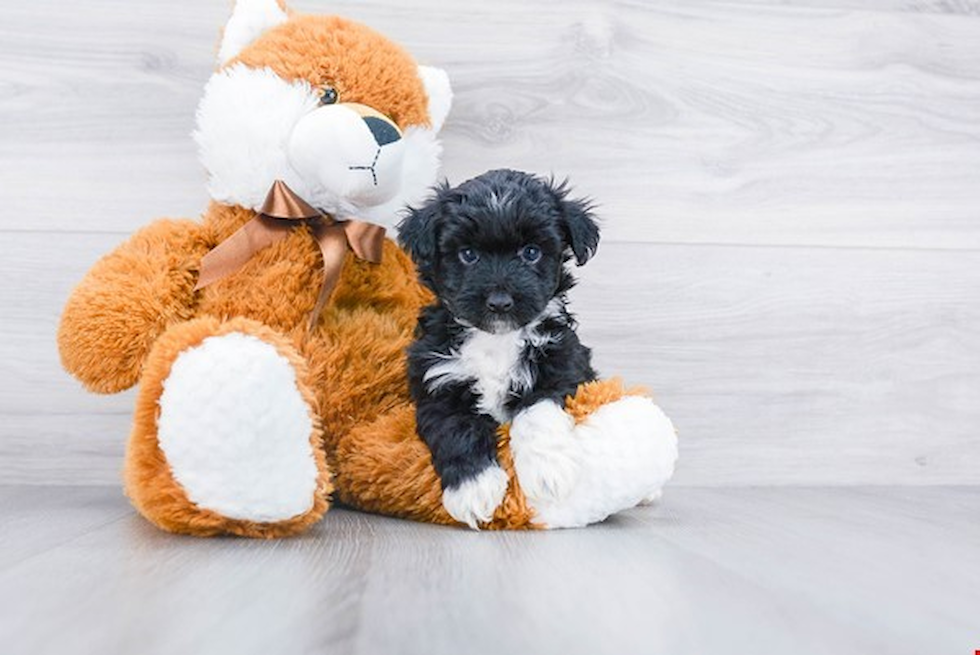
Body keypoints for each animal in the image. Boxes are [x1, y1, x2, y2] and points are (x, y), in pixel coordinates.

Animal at [396, 169, 596, 528]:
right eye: (468, 255)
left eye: (531, 252)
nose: (500, 302)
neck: (496, 339)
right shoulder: (438, 384)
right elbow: (457, 430)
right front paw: (473, 489)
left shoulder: (561, 366)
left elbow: (537, 412)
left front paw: (548, 471)